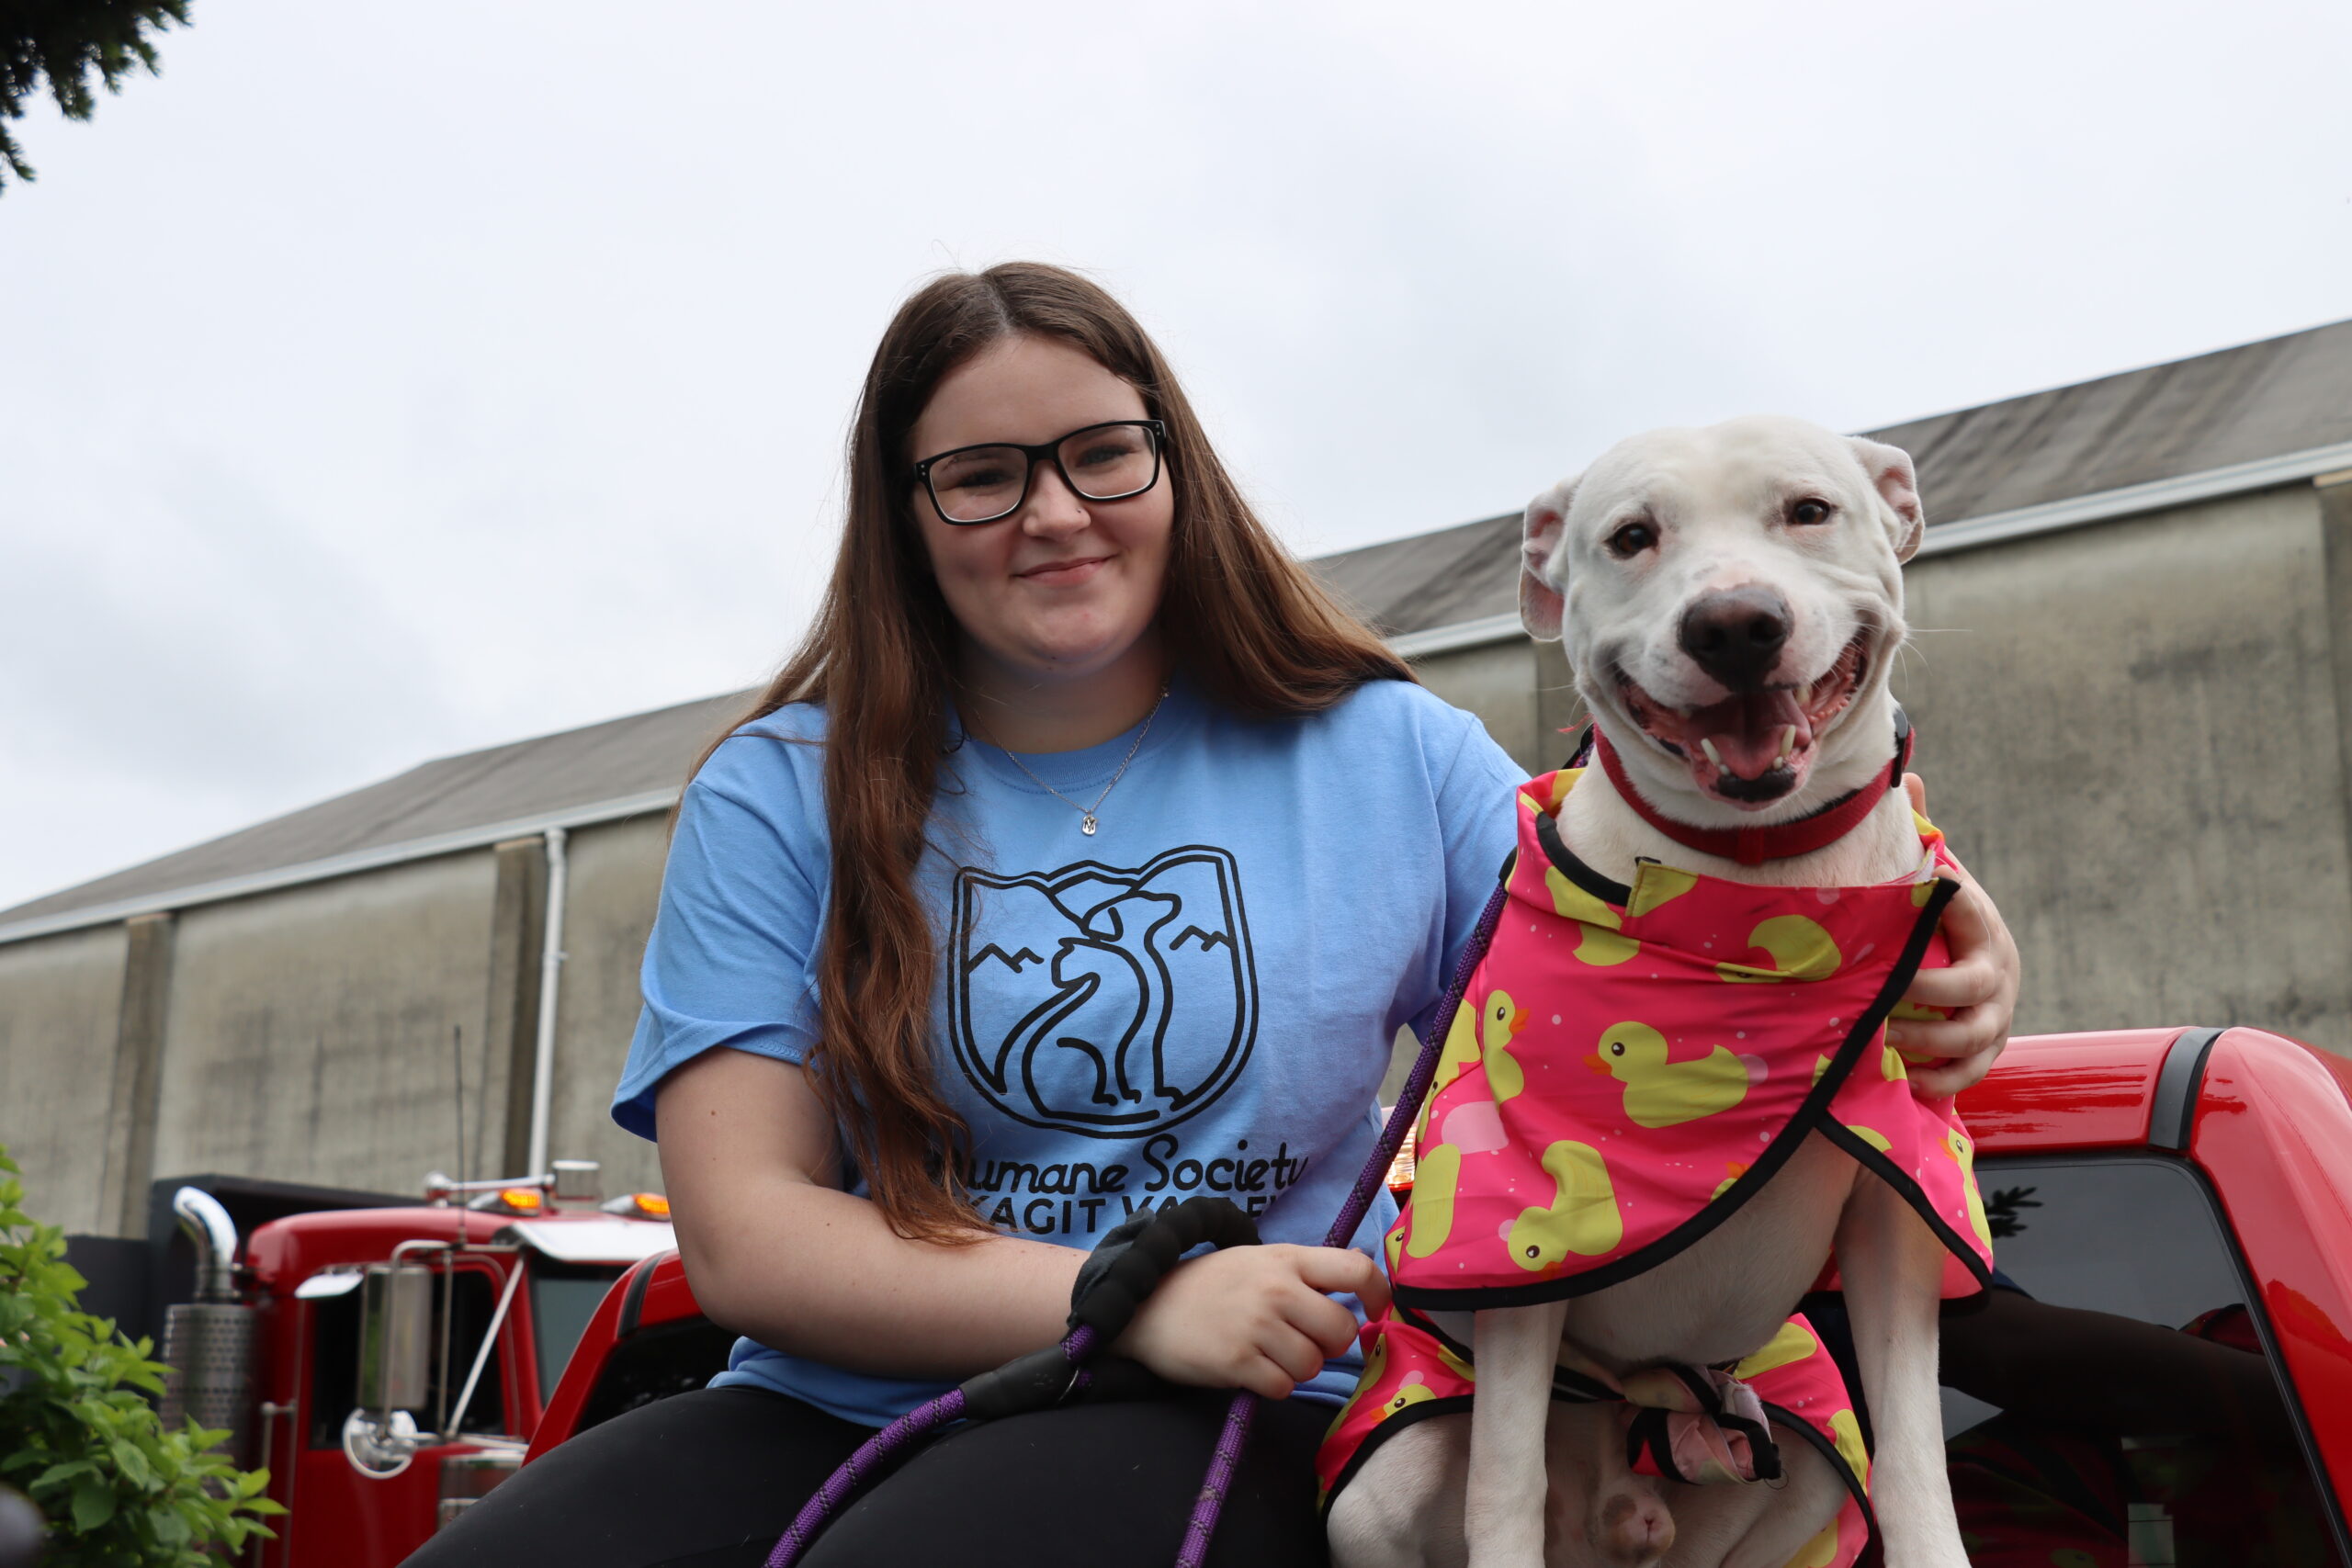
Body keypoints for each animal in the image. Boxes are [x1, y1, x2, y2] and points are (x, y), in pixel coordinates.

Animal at [1336, 413, 1975, 1568]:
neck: (1755, 895)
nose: (1734, 625)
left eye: (1808, 511)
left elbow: (1914, 1460)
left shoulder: (1901, 1199)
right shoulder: (1521, 1242)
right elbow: (1505, 1476)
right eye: (1631, 537)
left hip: (1807, 1473)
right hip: (1376, 1490)